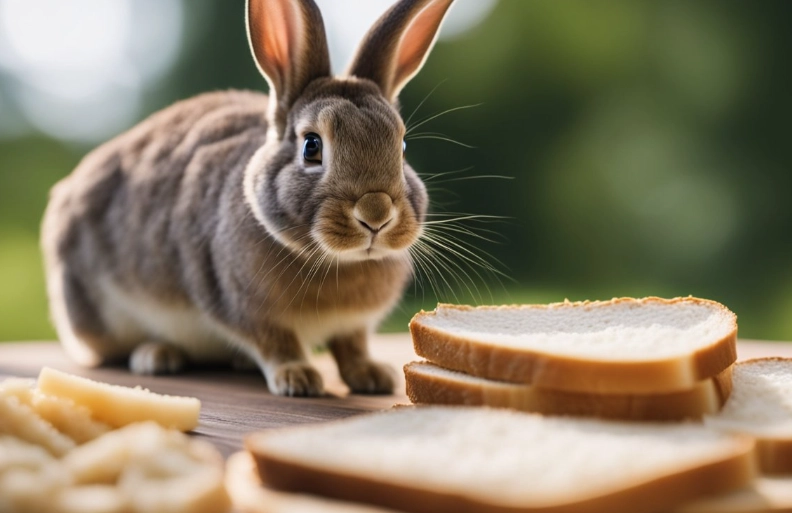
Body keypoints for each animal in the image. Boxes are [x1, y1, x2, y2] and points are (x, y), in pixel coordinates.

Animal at [40, 0, 456, 397]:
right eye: (312, 146)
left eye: (402, 147)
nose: (376, 213)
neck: (338, 261)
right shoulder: (244, 307)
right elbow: (276, 344)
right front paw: (297, 377)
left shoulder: (353, 326)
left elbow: (351, 346)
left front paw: (372, 375)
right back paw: (156, 356)